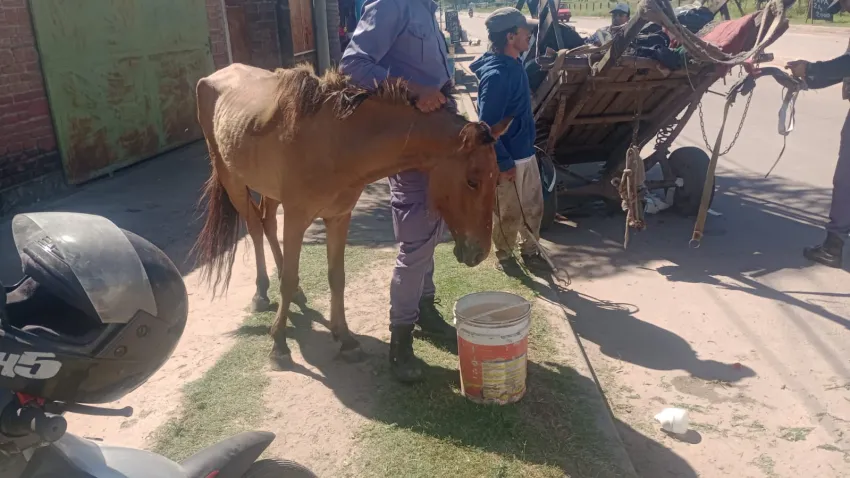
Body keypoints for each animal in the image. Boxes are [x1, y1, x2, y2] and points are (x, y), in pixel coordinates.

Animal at [192, 63, 511, 368]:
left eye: (496, 178)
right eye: (472, 181)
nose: (479, 252)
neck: (337, 141)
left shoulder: (338, 217)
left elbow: (337, 277)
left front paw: (344, 339)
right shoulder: (295, 218)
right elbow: (288, 278)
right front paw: (279, 345)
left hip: (269, 191)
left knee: (267, 223)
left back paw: (295, 294)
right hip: (232, 180)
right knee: (255, 227)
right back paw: (260, 293)